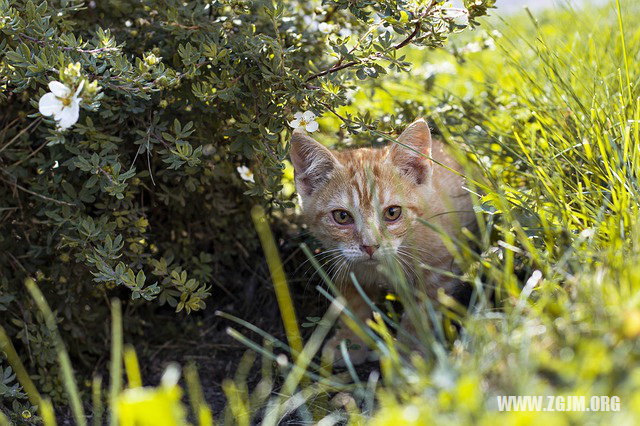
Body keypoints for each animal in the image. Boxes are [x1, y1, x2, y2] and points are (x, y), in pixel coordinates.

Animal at [290, 118, 476, 364]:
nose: (370, 246)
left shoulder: (439, 270)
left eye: (392, 213)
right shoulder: (347, 266)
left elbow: (420, 315)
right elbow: (355, 305)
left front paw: (410, 354)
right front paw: (350, 343)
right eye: (342, 216)